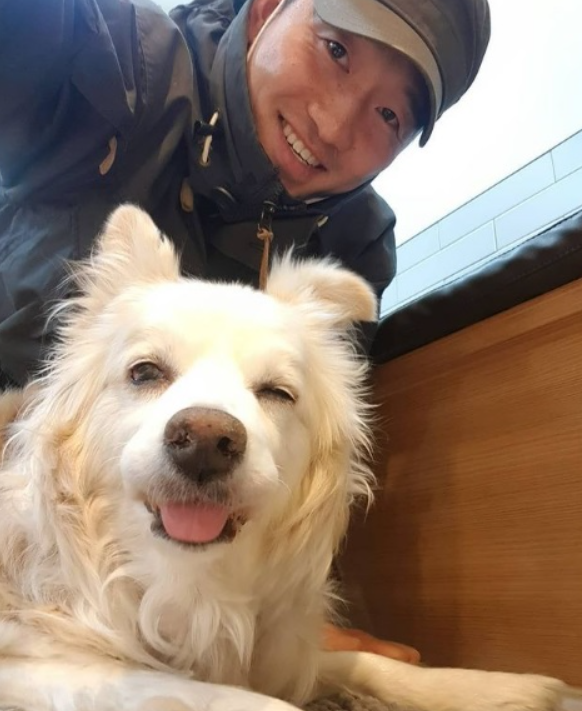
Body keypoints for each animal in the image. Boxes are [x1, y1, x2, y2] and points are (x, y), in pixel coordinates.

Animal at [0, 205, 567, 711]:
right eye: (145, 372)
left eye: (277, 392)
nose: (205, 440)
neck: (185, 586)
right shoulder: (48, 666)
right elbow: (235, 699)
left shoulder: (283, 655)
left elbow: (366, 664)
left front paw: (510, 689)